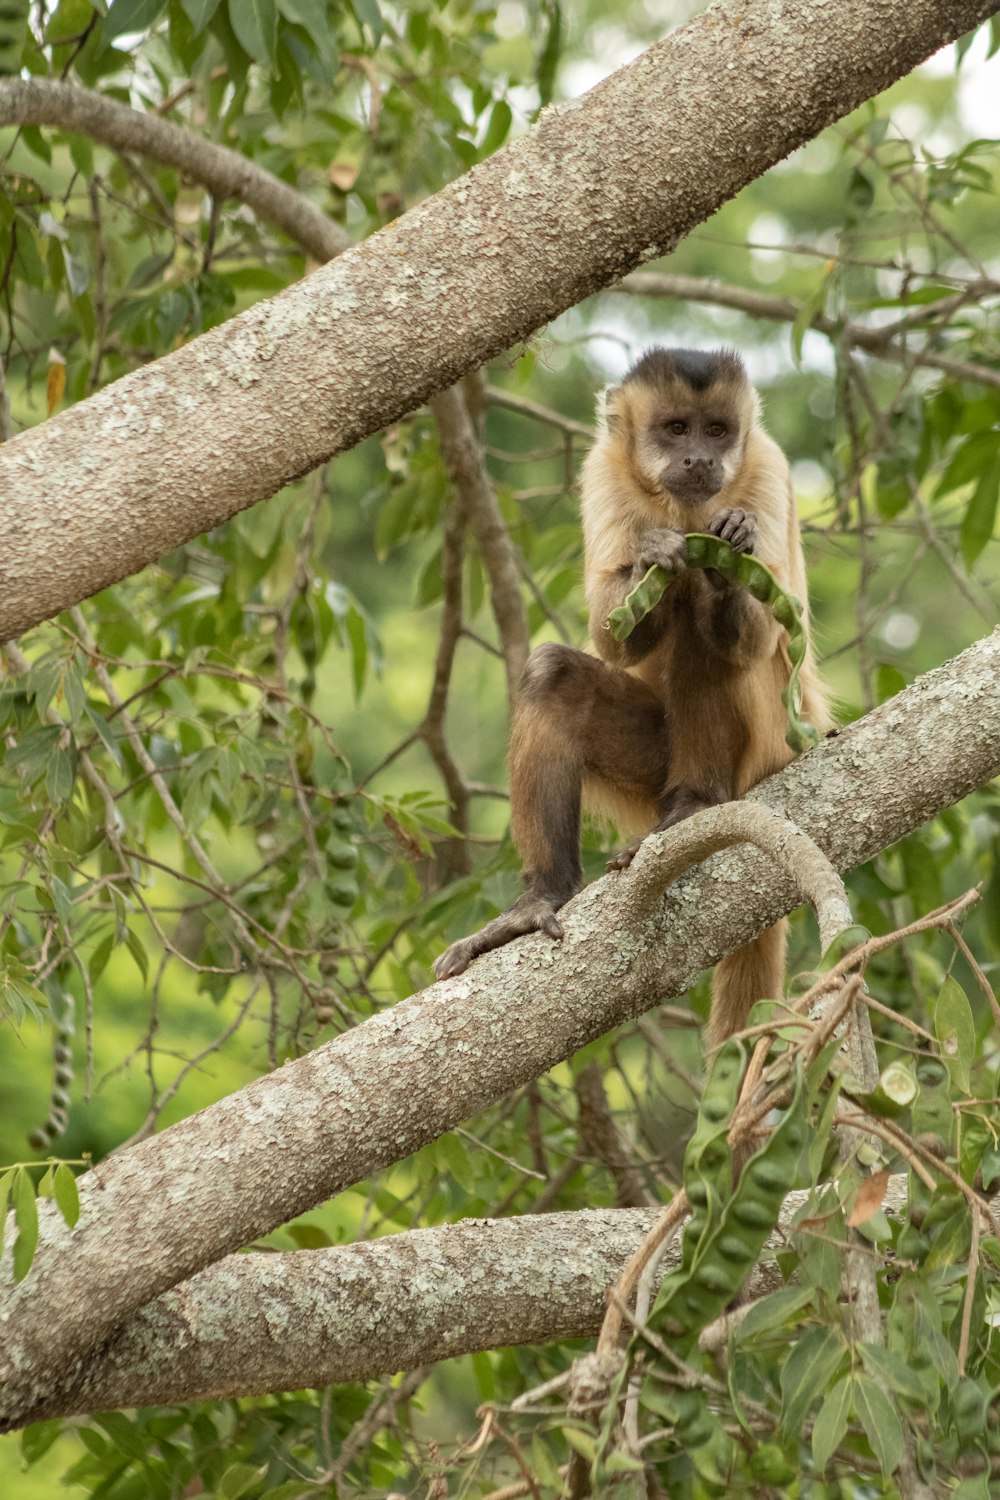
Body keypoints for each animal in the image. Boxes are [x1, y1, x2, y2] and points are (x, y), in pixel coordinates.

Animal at [434, 348, 833, 1056]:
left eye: (717, 431)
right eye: (676, 429)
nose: (700, 458)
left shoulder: (768, 465)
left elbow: (759, 630)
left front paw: (724, 558)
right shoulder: (603, 469)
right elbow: (610, 632)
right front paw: (655, 558)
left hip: (773, 741)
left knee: (711, 632)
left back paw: (694, 803)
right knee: (556, 675)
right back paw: (542, 898)